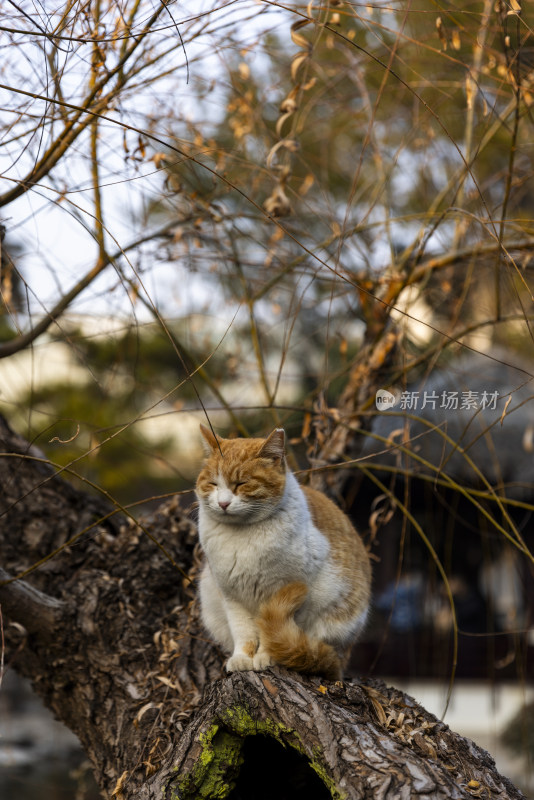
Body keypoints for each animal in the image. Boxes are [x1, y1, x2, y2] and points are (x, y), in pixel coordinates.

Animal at [197, 424, 372, 680]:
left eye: (241, 483)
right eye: (213, 484)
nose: (223, 503)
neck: (241, 536)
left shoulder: (294, 594)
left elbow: (275, 633)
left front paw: (267, 656)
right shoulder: (231, 597)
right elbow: (243, 632)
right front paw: (242, 658)